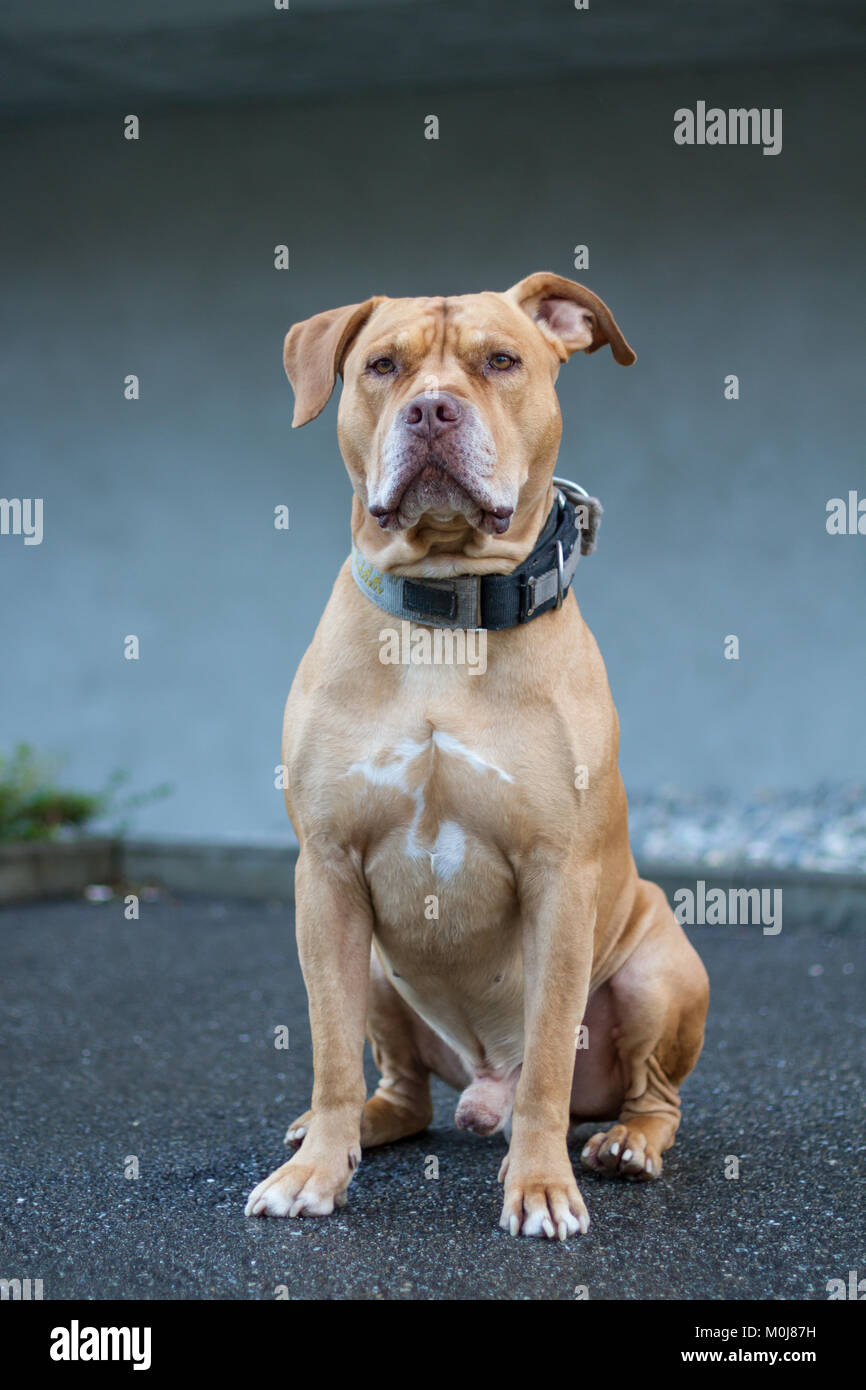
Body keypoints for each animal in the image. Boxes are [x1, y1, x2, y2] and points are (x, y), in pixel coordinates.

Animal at [247, 271, 708, 1239]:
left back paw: (623, 1145)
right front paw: (314, 1173)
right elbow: (330, 1050)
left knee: (645, 1096)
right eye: (383, 367)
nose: (431, 410)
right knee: (403, 1088)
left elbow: (549, 1060)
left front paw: (539, 1187)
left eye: (501, 361)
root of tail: (479, 1086)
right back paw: (353, 1129)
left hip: (659, 966)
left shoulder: (558, 881)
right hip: (377, 965)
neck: (447, 612)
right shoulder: (327, 876)